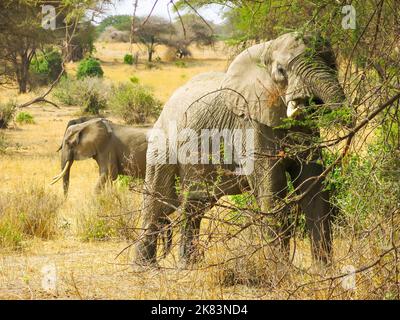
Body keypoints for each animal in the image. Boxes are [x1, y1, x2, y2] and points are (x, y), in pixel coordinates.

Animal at [135, 32, 346, 268]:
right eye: (281, 70)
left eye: (332, 64)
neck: (264, 50)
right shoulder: (250, 123)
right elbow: (272, 187)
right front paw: (280, 270)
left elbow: (314, 185)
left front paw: (323, 271)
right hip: (162, 142)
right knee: (158, 203)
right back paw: (146, 267)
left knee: (195, 204)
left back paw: (187, 266)